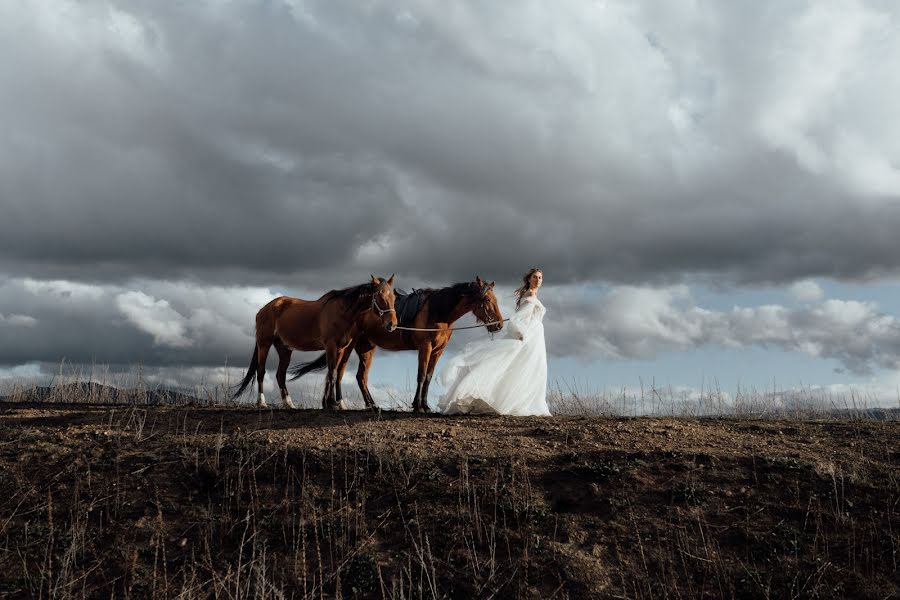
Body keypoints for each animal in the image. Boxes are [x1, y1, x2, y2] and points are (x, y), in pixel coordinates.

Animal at [234, 276, 396, 408]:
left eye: (393, 297)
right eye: (379, 296)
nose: (392, 324)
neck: (342, 312)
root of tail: (263, 310)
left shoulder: (341, 348)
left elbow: (337, 373)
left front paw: (338, 403)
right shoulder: (330, 345)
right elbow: (332, 373)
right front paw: (331, 403)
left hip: (284, 348)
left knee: (280, 374)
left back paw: (289, 404)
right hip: (264, 343)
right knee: (261, 371)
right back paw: (262, 402)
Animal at [292, 276, 502, 412]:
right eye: (487, 299)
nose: (499, 324)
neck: (438, 312)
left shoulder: (437, 351)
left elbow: (428, 377)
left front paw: (425, 405)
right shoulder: (425, 348)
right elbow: (421, 375)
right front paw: (418, 406)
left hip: (365, 347)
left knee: (358, 376)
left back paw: (368, 405)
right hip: (347, 346)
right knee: (339, 372)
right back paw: (338, 403)